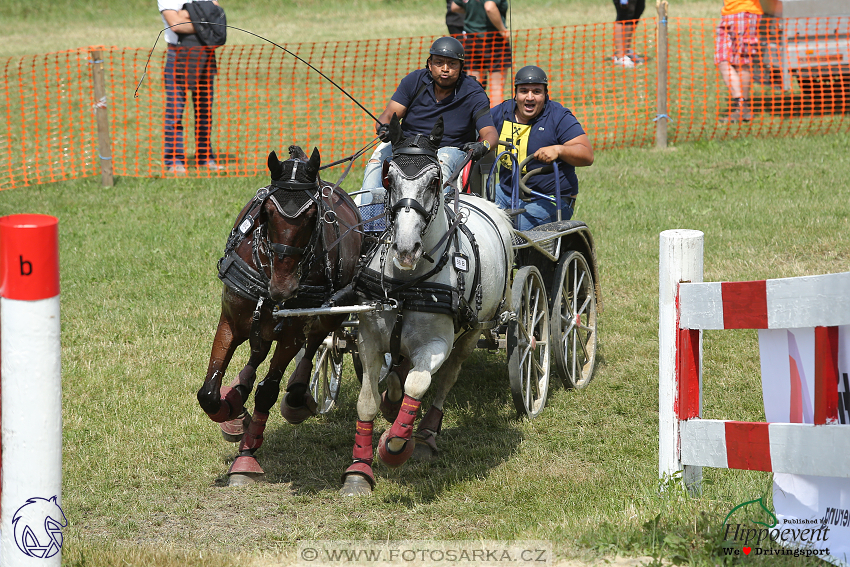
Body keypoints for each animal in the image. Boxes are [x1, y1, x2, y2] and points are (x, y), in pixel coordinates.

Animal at [198, 145, 362, 484]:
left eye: (312, 216)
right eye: (268, 213)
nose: (283, 289)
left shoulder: (291, 334)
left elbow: (268, 391)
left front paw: (246, 457)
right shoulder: (230, 321)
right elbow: (208, 392)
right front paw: (232, 413)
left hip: (331, 312)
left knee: (315, 344)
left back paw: (297, 395)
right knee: (257, 353)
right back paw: (238, 393)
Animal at [342, 116, 512, 496]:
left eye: (435, 181)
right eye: (389, 178)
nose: (406, 249)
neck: (406, 283)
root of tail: (487, 205)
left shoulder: (436, 344)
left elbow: (417, 386)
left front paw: (394, 447)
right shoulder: (369, 338)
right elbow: (367, 401)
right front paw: (359, 470)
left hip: (474, 330)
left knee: (447, 377)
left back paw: (427, 434)